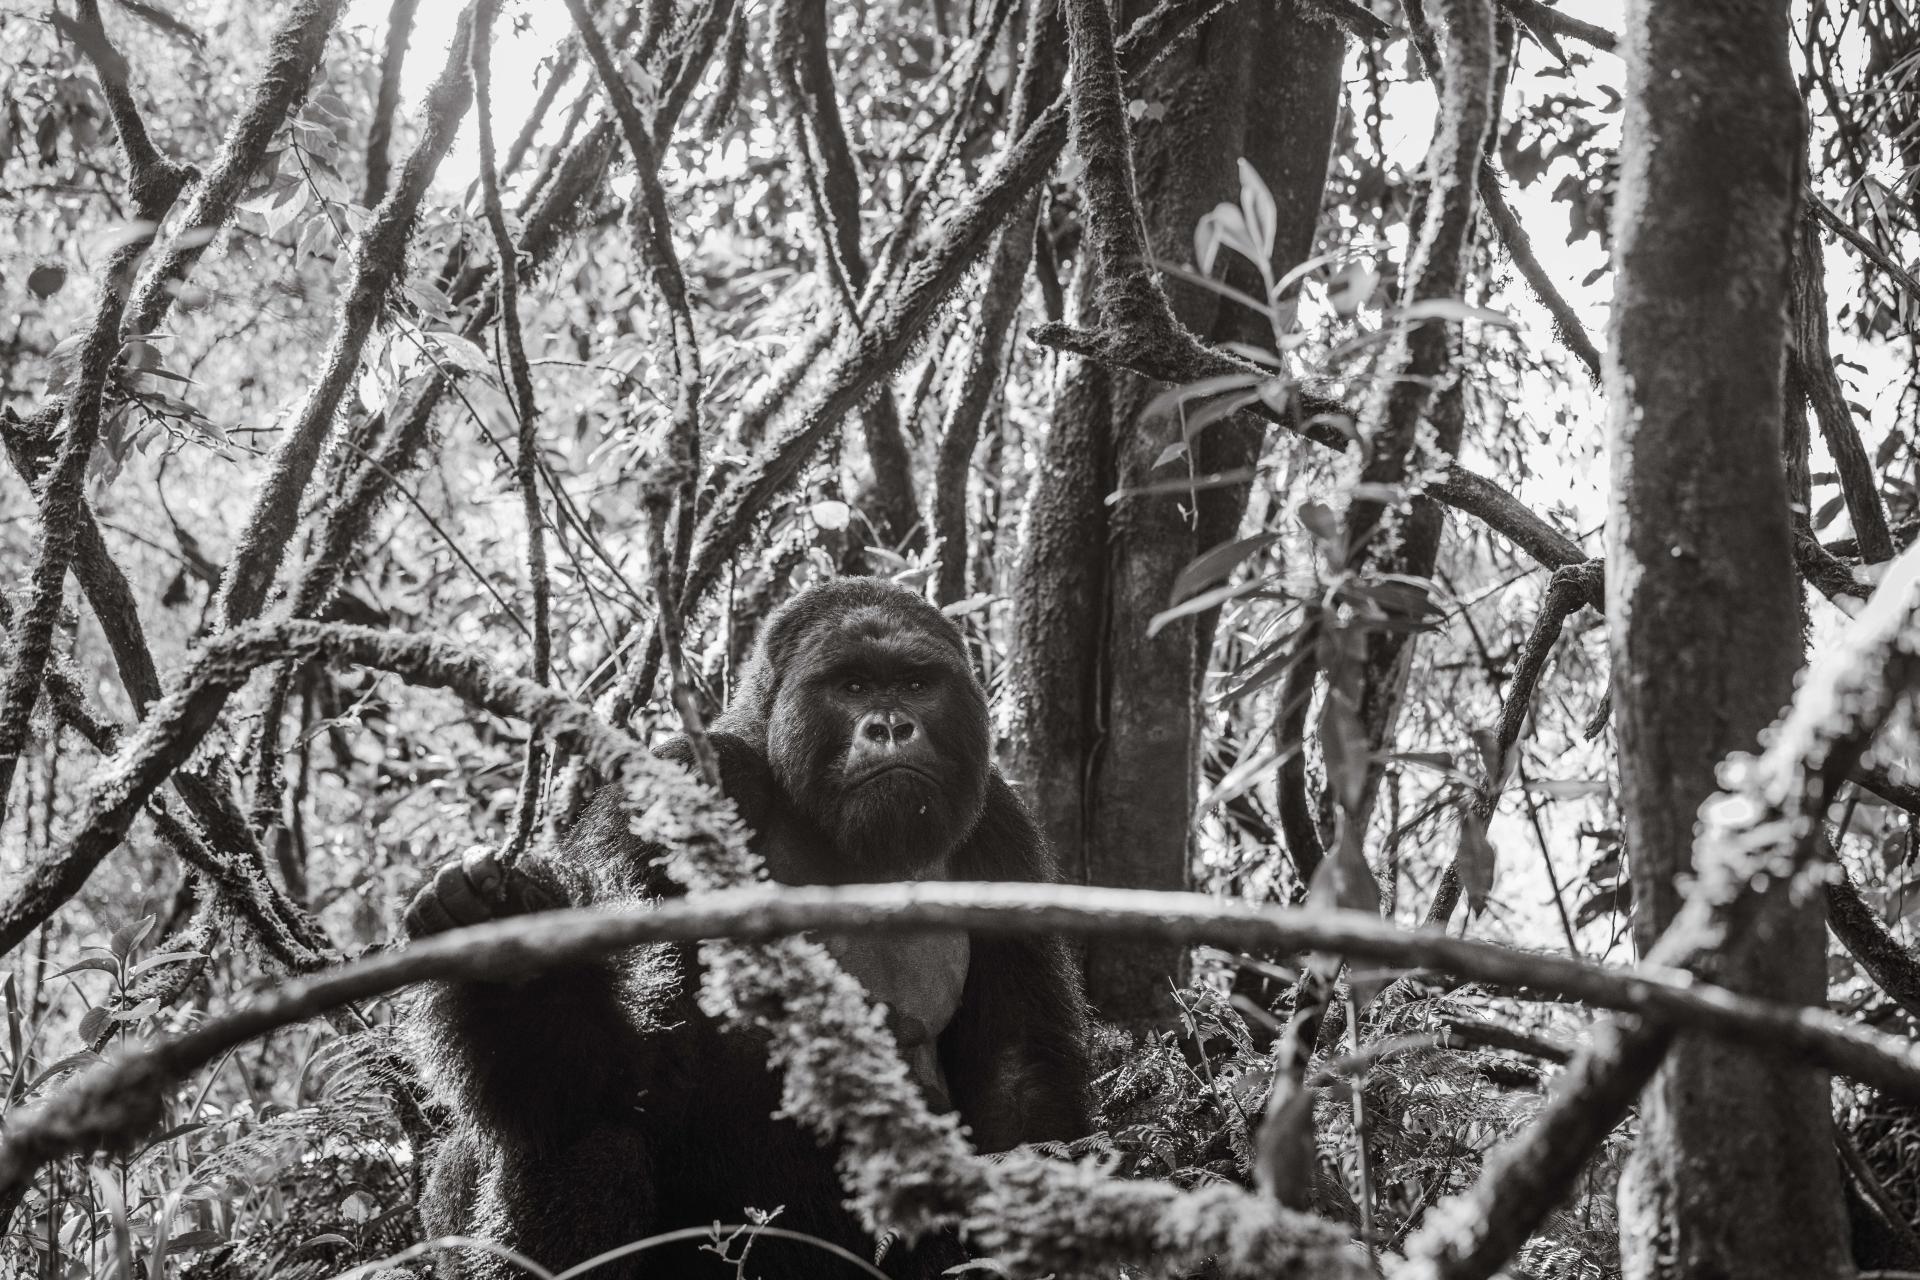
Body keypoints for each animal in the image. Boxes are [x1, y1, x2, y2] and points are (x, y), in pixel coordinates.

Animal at [401, 579, 1098, 1280]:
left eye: (918, 684)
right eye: (851, 687)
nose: (892, 726)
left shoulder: (999, 828)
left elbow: (1016, 1069)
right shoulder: (682, 783)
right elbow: (605, 1073)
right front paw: (515, 963)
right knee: (590, 1130)